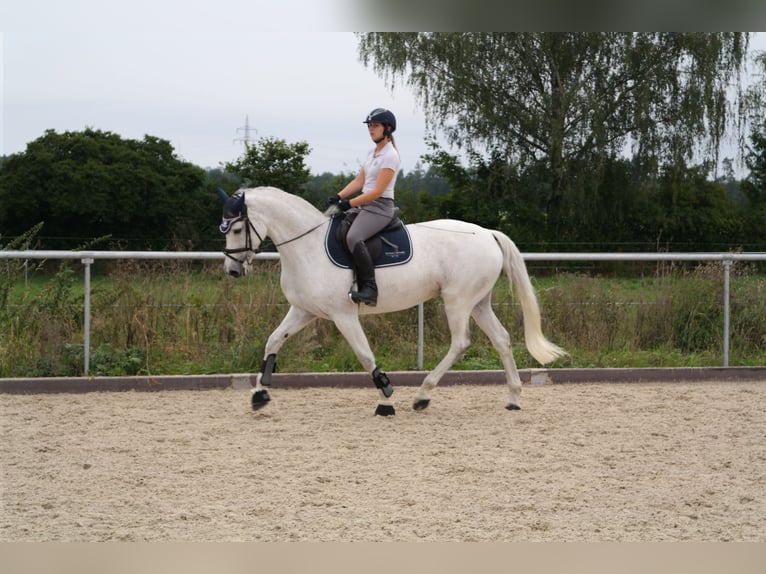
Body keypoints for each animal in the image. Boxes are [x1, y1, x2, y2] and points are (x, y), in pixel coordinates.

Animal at [219, 187, 568, 416]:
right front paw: (260, 393)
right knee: (502, 339)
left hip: (457, 301)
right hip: (478, 302)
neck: (307, 246)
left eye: (235, 228)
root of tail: (486, 233)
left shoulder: (343, 315)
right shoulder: (304, 310)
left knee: (461, 343)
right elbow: (273, 341)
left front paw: (386, 399)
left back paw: (423, 396)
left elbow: (365, 356)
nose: (233, 270)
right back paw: (513, 398)